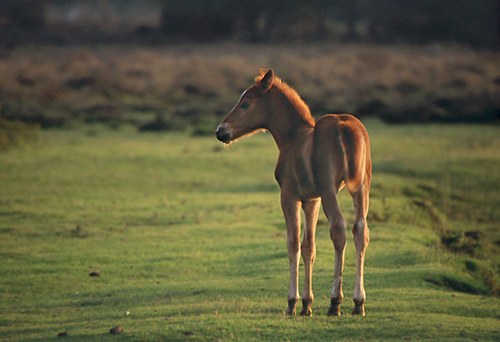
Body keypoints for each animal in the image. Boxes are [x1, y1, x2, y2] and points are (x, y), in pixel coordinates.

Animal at [215, 69, 372, 318]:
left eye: (245, 104)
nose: (221, 131)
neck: (293, 137)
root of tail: (347, 129)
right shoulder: (311, 199)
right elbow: (309, 247)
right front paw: (307, 304)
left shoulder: (289, 197)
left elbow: (293, 244)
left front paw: (292, 303)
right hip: (362, 187)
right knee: (361, 230)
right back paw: (358, 303)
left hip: (330, 190)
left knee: (339, 229)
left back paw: (335, 301)